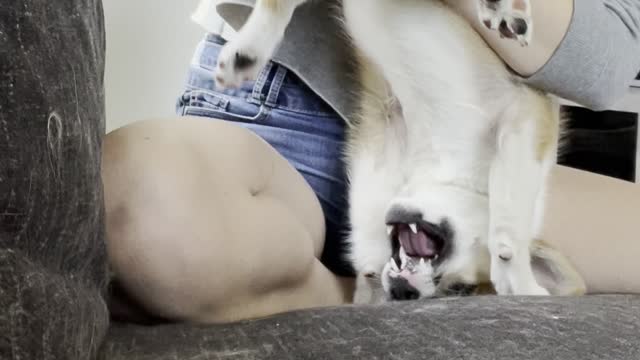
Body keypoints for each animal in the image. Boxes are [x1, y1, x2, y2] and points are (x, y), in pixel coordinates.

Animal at [214, 0, 584, 302]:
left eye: (456, 289)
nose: (407, 292)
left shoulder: (383, 132)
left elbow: (367, 229)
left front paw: (369, 283)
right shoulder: (529, 116)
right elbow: (511, 217)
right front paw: (520, 279)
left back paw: (246, 52)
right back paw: (506, 8)